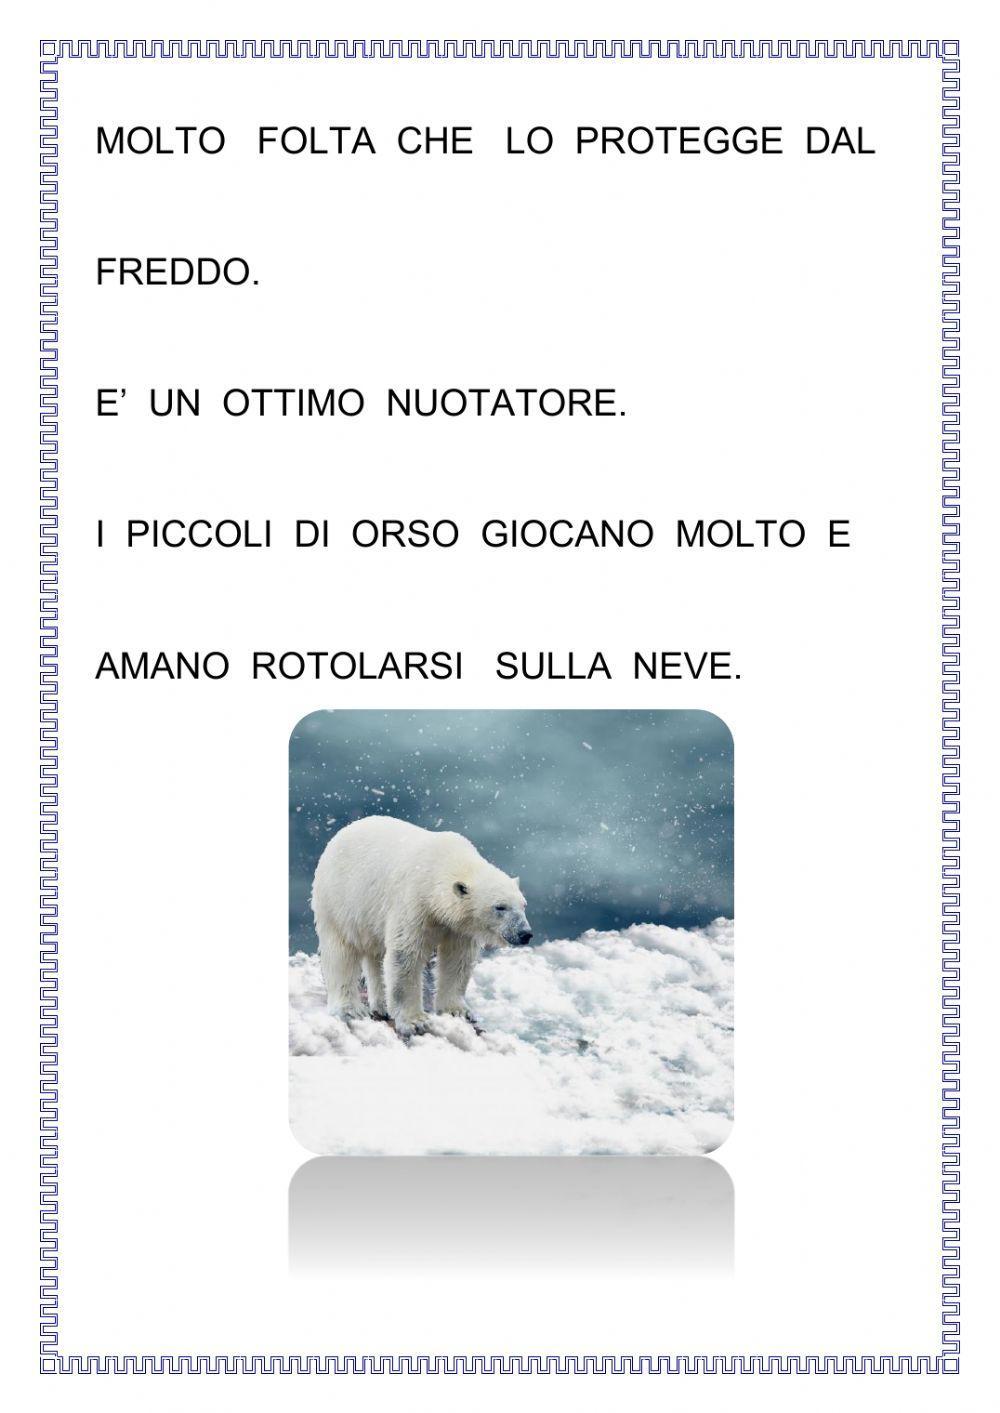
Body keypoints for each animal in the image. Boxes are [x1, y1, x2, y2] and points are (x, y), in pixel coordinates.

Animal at [311, 815, 533, 1036]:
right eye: (500, 907)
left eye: (523, 905)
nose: (525, 933)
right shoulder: (413, 903)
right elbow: (405, 956)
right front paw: (415, 1021)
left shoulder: (458, 927)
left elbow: (457, 960)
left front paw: (458, 1010)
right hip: (340, 902)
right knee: (341, 953)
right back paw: (350, 1009)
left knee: (376, 956)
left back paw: (382, 1006)